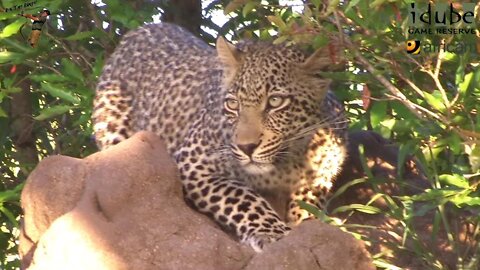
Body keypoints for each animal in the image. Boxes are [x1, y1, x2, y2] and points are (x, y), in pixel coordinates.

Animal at [93, 22, 348, 252]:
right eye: (233, 104)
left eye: (276, 101)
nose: (247, 147)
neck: (285, 162)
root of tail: (141, 29)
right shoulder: (194, 164)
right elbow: (244, 198)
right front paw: (273, 233)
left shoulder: (318, 179)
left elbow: (308, 208)